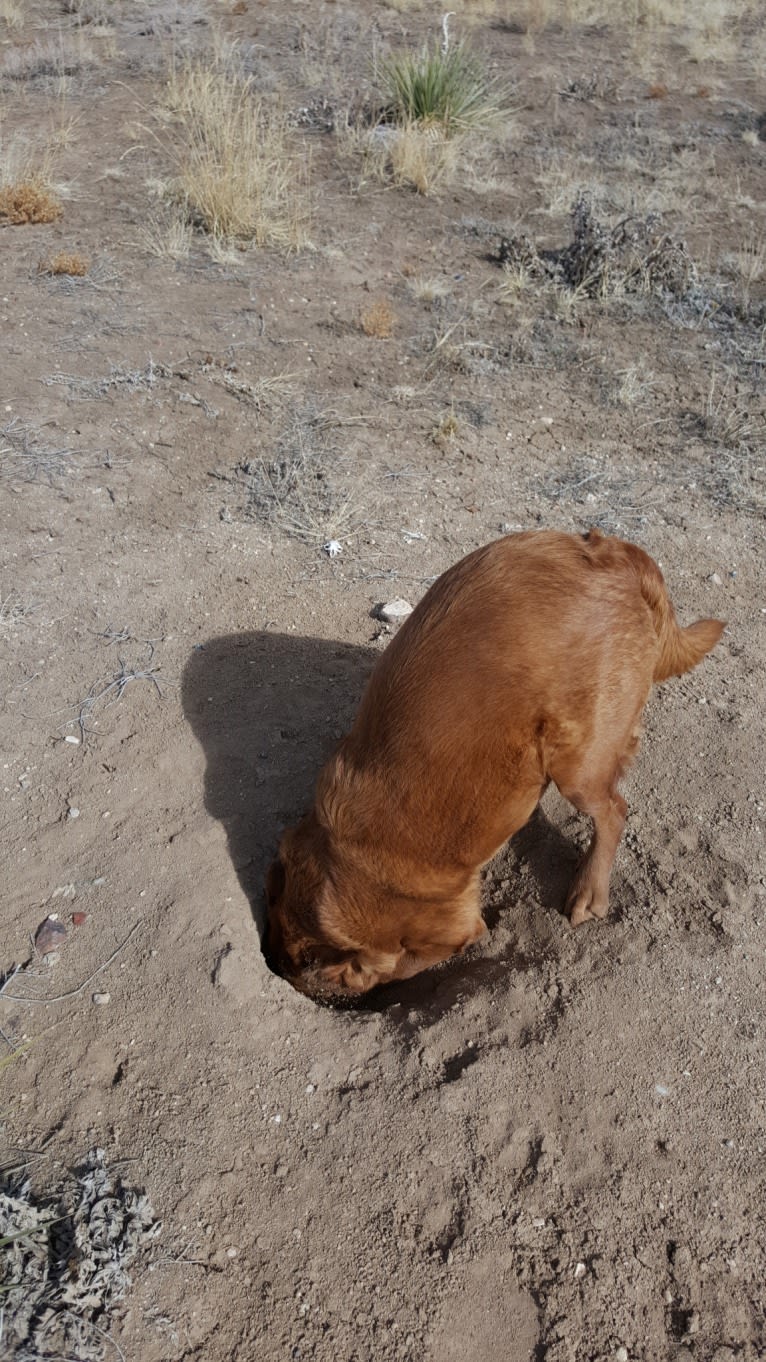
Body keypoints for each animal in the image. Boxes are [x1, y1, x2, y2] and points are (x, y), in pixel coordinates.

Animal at [267, 531, 719, 1002]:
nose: (277, 965)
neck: (340, 853)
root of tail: (613, 553)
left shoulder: (451, 930)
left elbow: (407, 963)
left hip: (579, 764)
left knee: (614, 811)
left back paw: (588, 891)